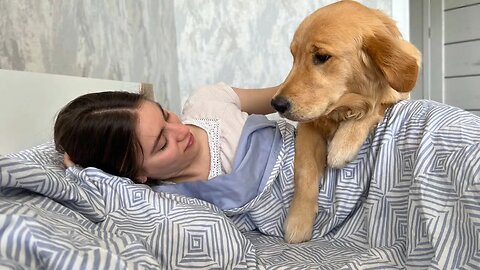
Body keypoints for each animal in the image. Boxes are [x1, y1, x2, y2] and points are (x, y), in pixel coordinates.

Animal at [272, 0, 422, 244]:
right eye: (294, 57)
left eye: (321, 56)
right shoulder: (308, 124)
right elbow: (305, 171)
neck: (342, 109)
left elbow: (376, 105)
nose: (276, 104)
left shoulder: (398, 95)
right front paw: (298, 222)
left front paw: (342, 146)